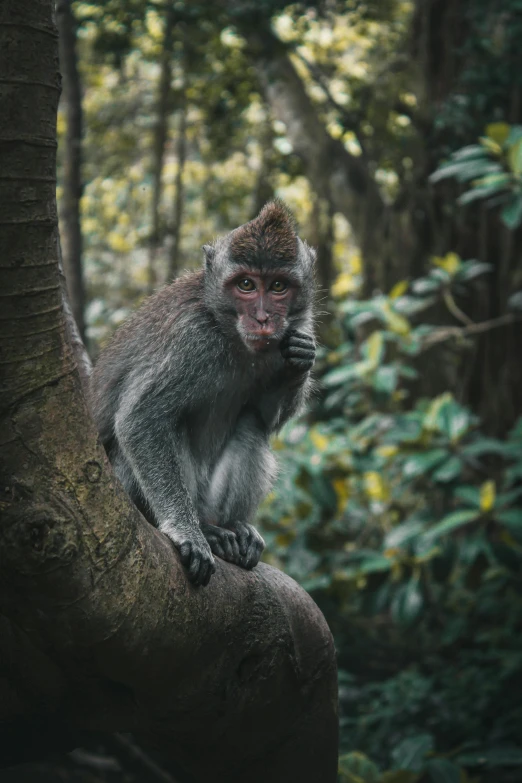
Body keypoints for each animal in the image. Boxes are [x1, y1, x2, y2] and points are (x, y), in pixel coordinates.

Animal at [89, 199, 312, 584]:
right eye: (246, 284)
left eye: (278, 286)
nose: (263, 319)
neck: (230, 333)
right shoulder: (190, 340)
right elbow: (140, 418)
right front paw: (185, 531)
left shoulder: (298, 326)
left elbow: (265, 416)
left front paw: (299, 361)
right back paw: (205, 531)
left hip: (211, 501)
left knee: (252, 426)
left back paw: (232, 528)